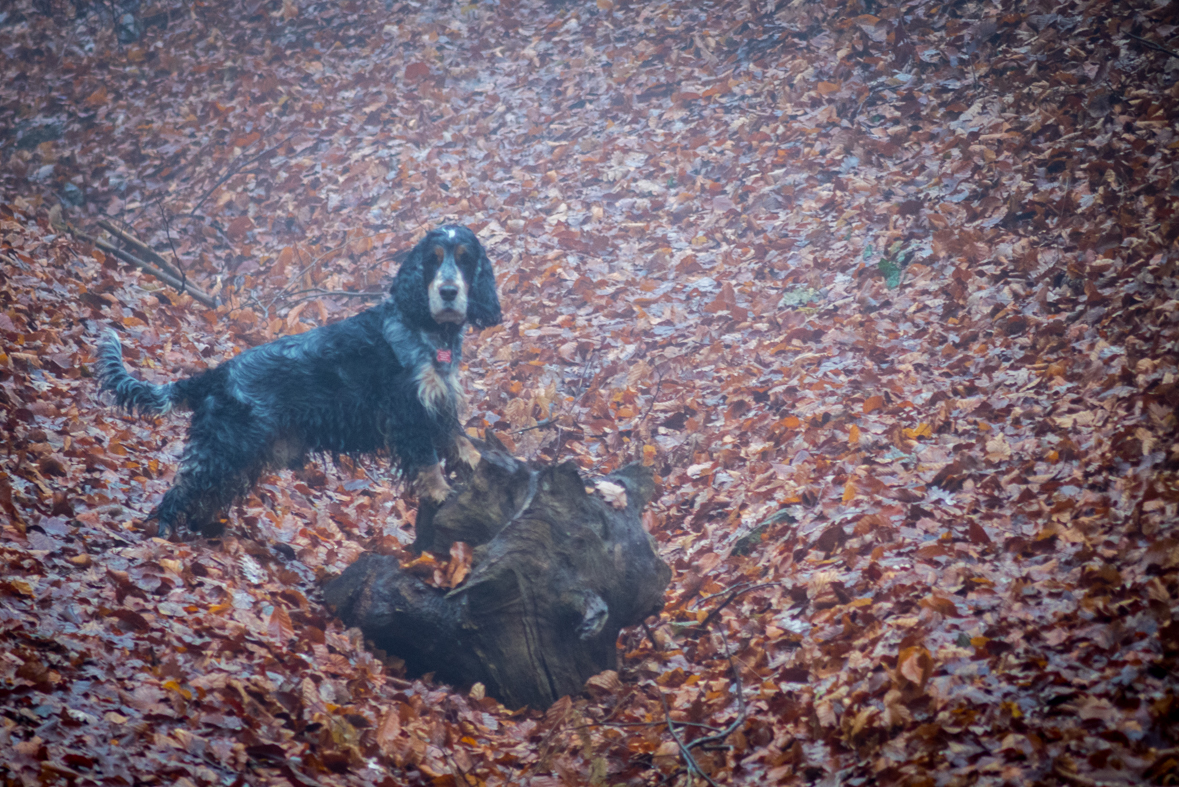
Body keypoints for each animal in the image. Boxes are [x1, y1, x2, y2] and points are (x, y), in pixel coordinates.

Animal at [97, 223, 502, 537]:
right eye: (433, 259)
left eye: (465, 259)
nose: (448, 291)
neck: (430, 331)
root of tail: (218, 373)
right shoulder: (408, 412)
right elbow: (428, 461)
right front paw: (441, 493)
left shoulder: (440, 402)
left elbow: (459, 440)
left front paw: (476, 462)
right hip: (225, 447)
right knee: (181, 489)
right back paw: (164, 532)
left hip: (247, 455)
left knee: (208, 496)